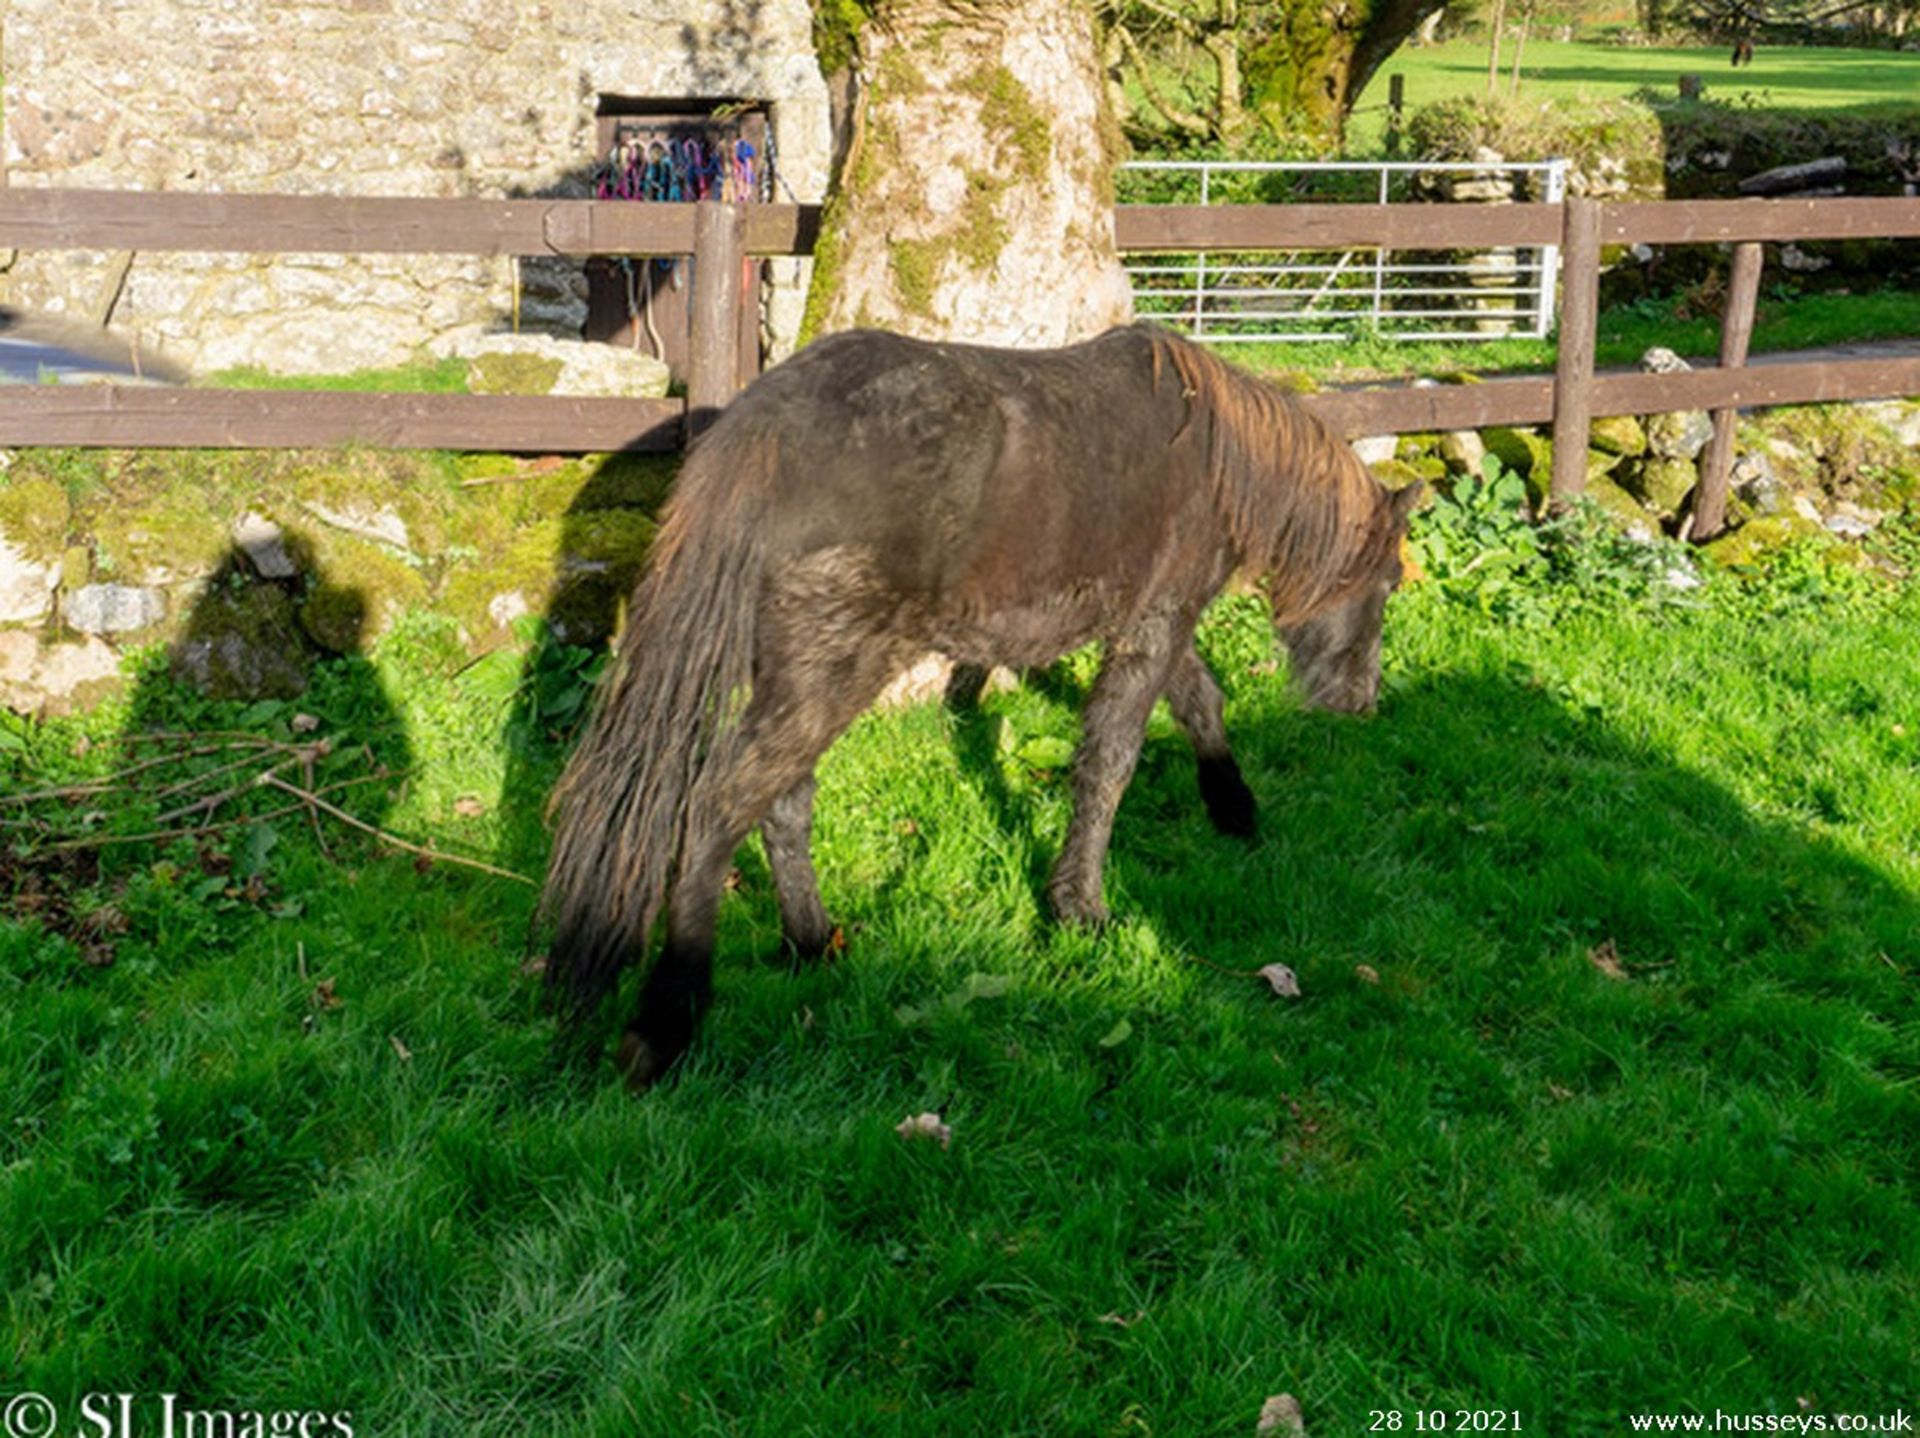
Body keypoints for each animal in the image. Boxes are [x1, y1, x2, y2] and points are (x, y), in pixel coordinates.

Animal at [537, 322, 1413, 1090]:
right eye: (1389, 584)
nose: (1360, 702)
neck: (1211, 451)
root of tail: (768, 425)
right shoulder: (1157, 622)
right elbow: (1110, 762)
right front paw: (1081, 909)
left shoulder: (1147, 624)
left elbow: (1200, 702)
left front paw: (1234, 807)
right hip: (832, 671)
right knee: (721, 806)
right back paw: (667, 1021)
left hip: (794, 675)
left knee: (782, 801)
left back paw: (812, 943)